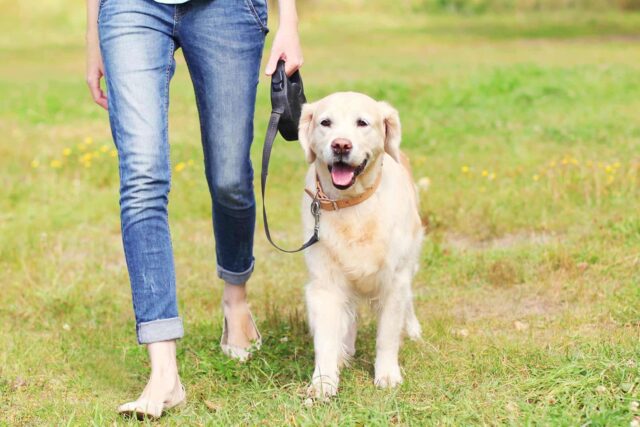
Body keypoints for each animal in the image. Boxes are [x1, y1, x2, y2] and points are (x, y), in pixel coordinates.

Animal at [298, 92, 424, 400]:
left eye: (362, 123)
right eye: (325, 122)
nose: (341, 145)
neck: (352, 205)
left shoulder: (395, 280)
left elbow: (387, 336)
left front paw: (387, 375)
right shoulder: (325, 283)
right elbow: (326, 338)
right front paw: (324, 382)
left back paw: (412, 329)